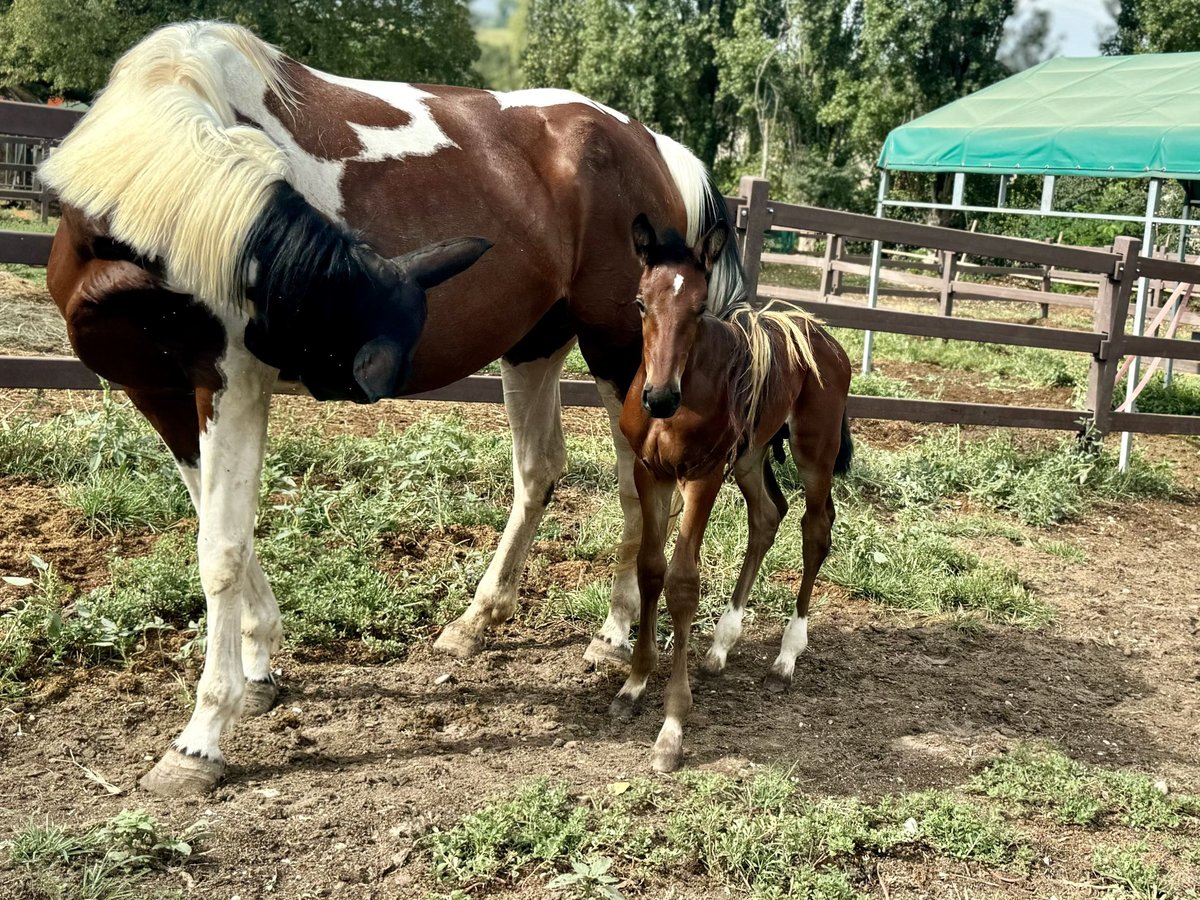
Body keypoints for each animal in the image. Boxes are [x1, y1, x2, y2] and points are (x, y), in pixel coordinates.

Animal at [42, 21, 744, 796]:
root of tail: (655, 145)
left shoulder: (230, 380)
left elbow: (220, 548)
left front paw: (200, 740)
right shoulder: (159, 390)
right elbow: (223, 528)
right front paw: (259, 670)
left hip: (623, 356)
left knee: (634, 485)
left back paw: (613, 637)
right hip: (537, 345)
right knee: (540, 469)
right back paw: (477, 621)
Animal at [609, 214, 854, 772]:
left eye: (700, 308)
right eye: (640, 303)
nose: (659, 397)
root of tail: (823, 338)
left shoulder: (701, 475)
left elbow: (682, 583)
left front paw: (672, 728)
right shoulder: (650, 472)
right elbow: (650, 569)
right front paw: (634, 683)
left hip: (814, 451)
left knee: (815, 529)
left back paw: (786, 656)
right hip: (749, 454)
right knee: (767, 516)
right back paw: (722, 644)